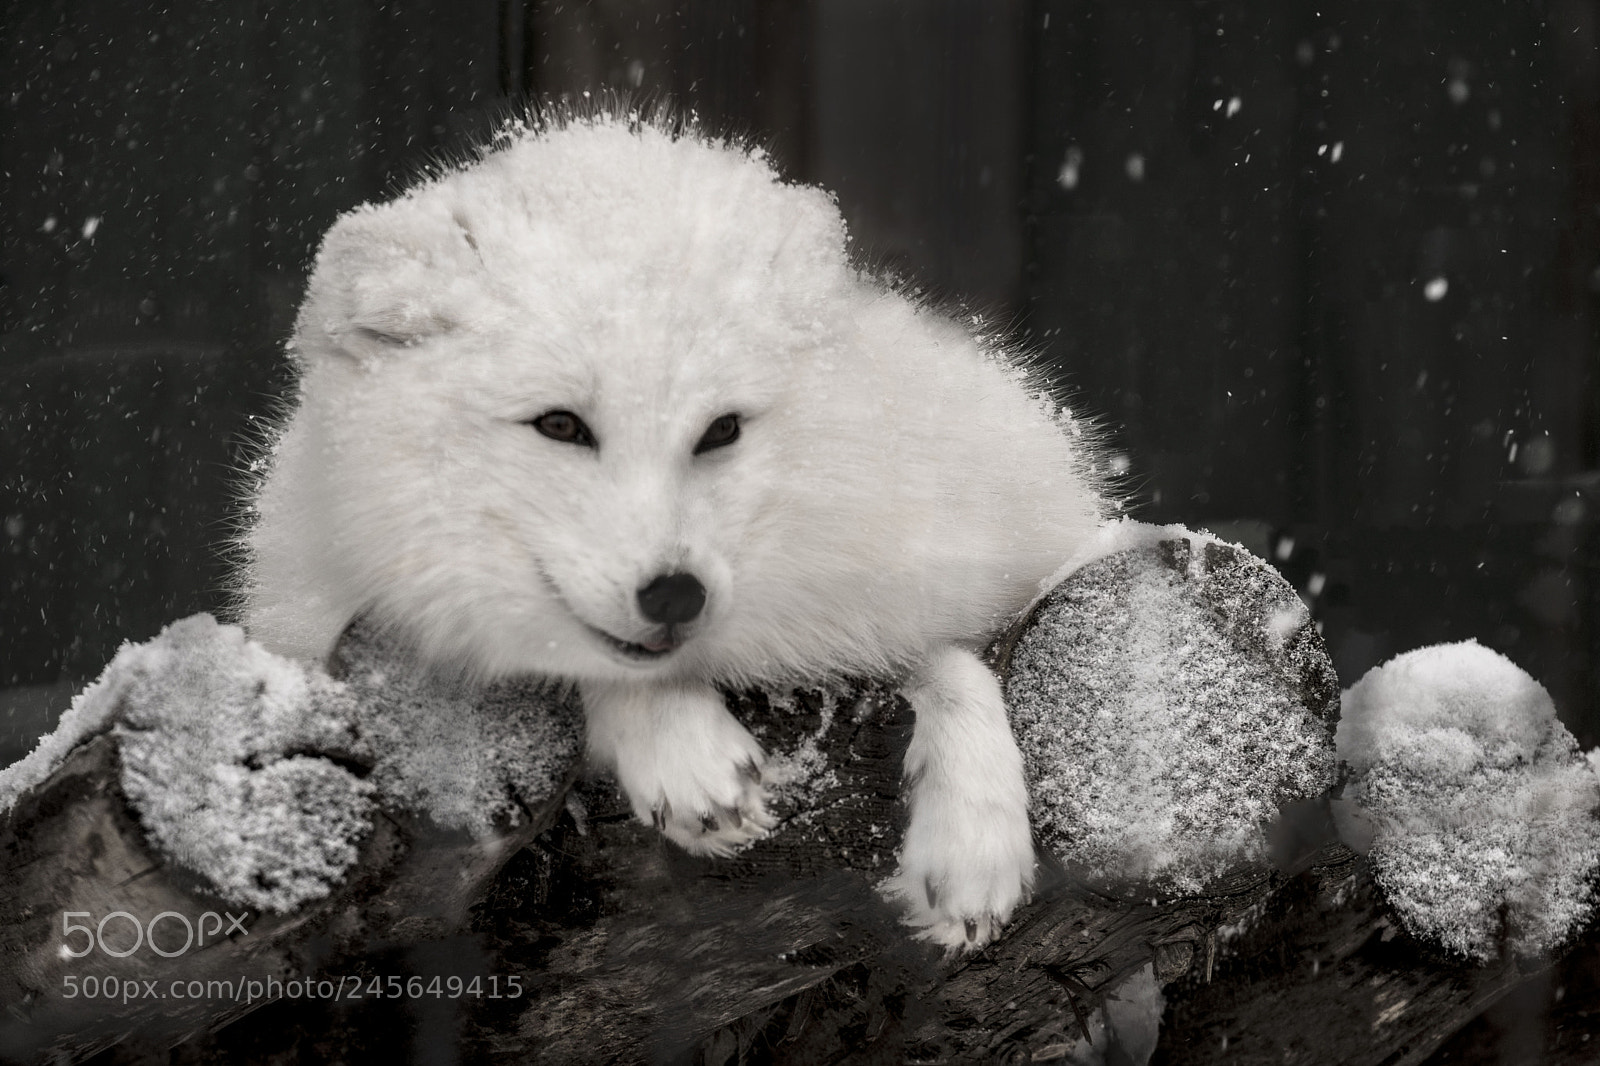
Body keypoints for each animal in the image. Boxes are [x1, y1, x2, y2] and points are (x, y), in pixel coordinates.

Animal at [239, 112, 1106, 949]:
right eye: (559, 425)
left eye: (721, 430)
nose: (675, 595)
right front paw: (685, 754)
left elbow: (956, 663)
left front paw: (973, 844)